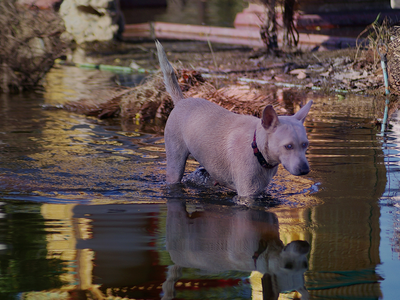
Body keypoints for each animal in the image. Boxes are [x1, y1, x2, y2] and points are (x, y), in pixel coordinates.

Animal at [156, 41, 312, 198]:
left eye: (305, 145)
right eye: (288, 146)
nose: (305, 170)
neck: (256, 148)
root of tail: (181, 101)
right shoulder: (246, 195)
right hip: (175, 163)